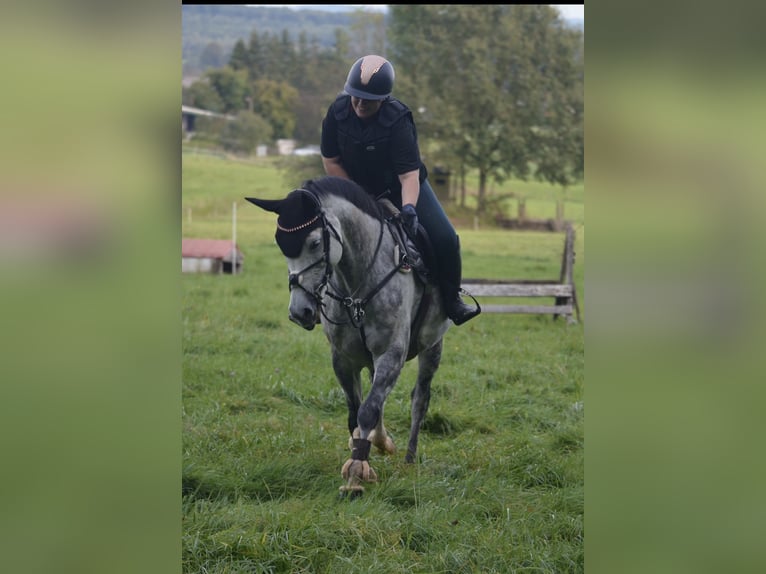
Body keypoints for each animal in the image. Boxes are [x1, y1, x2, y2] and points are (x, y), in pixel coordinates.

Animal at [246, 178, 452, 498]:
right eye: (281, 245)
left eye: (315, 243)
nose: (300, 312)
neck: (359, 283)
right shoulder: (343, 359)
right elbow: (357, 412)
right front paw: (363, 452)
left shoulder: (391, 355)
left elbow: (368, 411)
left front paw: (356, 473)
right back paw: (381, 440)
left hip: (432, 348)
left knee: (419, 399)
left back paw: (408, 457)